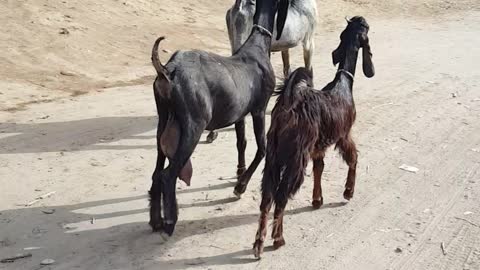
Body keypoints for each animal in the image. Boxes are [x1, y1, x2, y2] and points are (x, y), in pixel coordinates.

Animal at [150, 0, 290, 235]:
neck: (257, 48)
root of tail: (168, 71)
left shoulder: (240, 113)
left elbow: (241, 142)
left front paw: (239, 174)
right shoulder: (259, 109)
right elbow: (262, 148)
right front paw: (240, 186)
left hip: (163, 121)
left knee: (156, 172)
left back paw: (155, 221)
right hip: (193, 125)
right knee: (168, 174)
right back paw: (169, 222)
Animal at [251, 16, 376, 258]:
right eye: (364, 28)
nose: (364, 20)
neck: (342, 83)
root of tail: (289, 105)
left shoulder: (319, 146)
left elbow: (319, 168)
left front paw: (317, 199)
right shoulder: (343, 135)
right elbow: (353, 158)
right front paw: (348, 191)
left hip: (273, 155)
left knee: (266, 197)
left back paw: (259, 243)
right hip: (296, 158)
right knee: (281, 196)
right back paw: (278, 238)